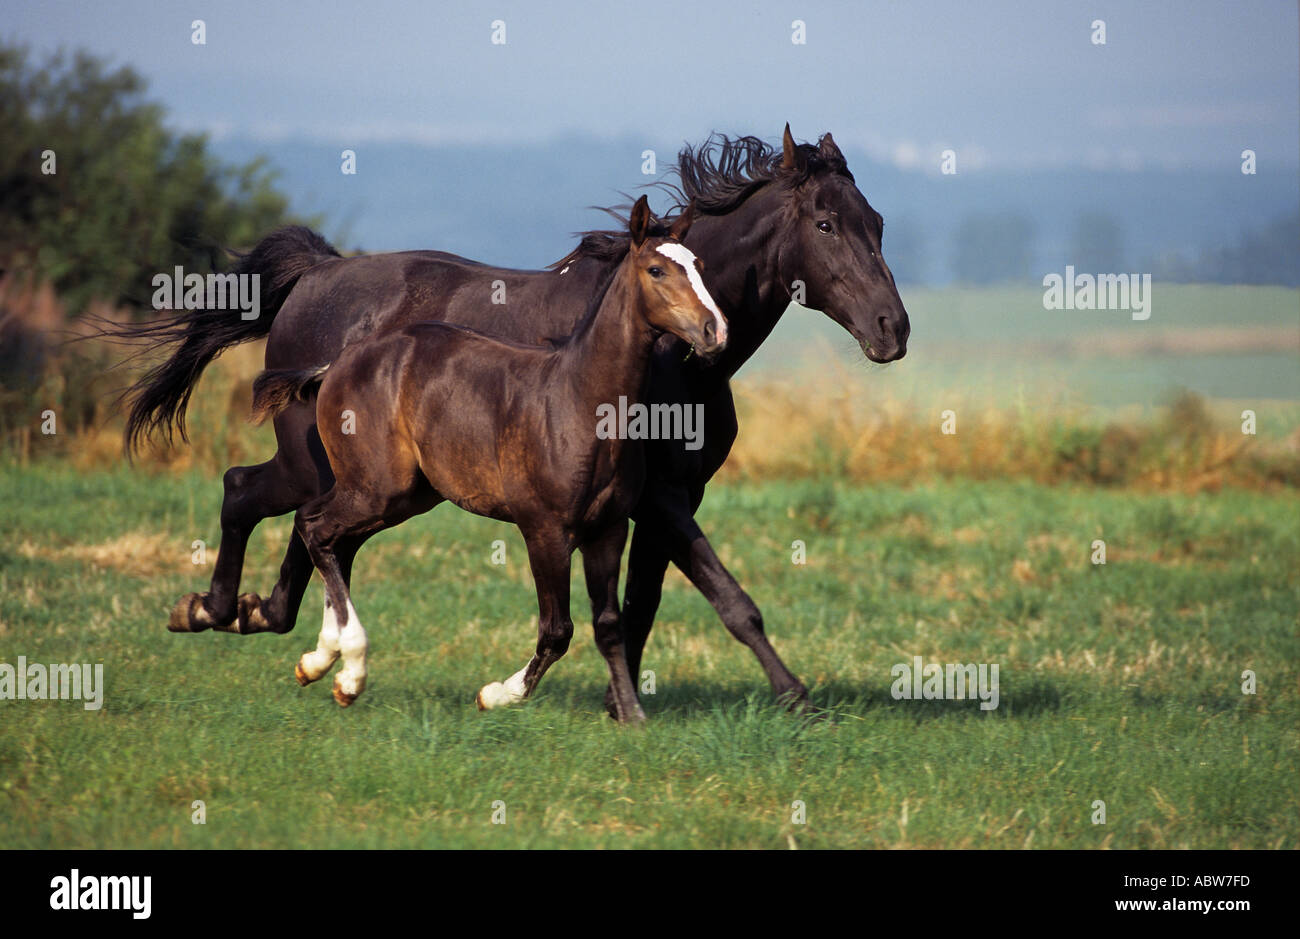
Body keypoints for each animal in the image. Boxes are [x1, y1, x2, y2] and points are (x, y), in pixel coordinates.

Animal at [124, 122, 915, 707]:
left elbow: (641, 601)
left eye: (878, 221)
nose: (893, 329)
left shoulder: (662, 497)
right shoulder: (658, 496)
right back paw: (220, 611)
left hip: (374, 479)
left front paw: (617, 700)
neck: (675, 359)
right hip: (317, 462)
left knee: (314, 539)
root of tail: (316, 273)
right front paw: (794, 694)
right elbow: (726, 595)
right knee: (250, 495)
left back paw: (296, 643)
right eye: (825, 223)